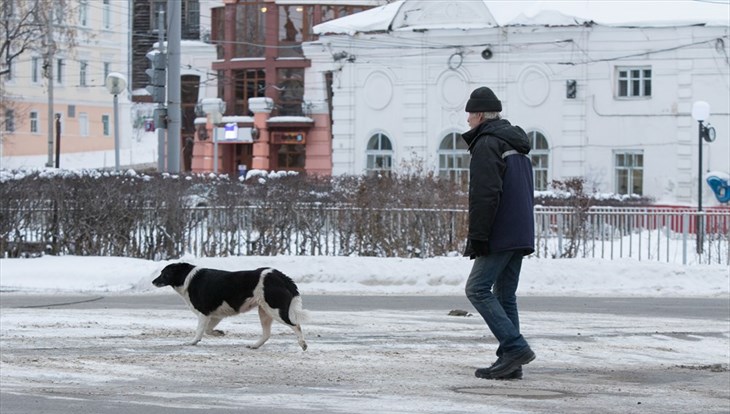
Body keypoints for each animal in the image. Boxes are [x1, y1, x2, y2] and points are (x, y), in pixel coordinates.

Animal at [154, 262, 308, 350]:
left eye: (164, 273)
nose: (153, 282)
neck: (187, 278)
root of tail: (279, 275)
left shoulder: (203, 313)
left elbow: (199, 331)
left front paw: (192, 342)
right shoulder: (215, 315)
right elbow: (208, 330)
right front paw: (219, 333)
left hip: (275, 310)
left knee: (296, 325)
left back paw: (303, 344)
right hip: (264, 312)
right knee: (267, 334)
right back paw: (254, 346)